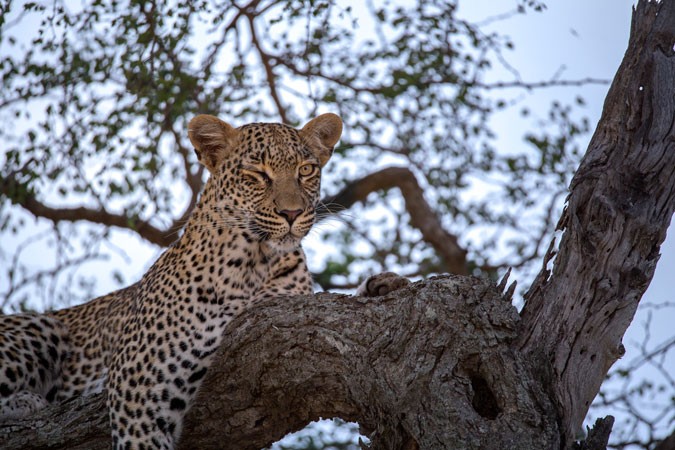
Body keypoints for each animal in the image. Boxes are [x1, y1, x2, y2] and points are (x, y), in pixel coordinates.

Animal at [0, 111, 406, 446]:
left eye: (306, 170)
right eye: (257, 174)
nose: (292, 213)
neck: (254, 261)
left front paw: (379, 285)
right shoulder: (136, 385)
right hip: (41, 328)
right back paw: (27, 400)